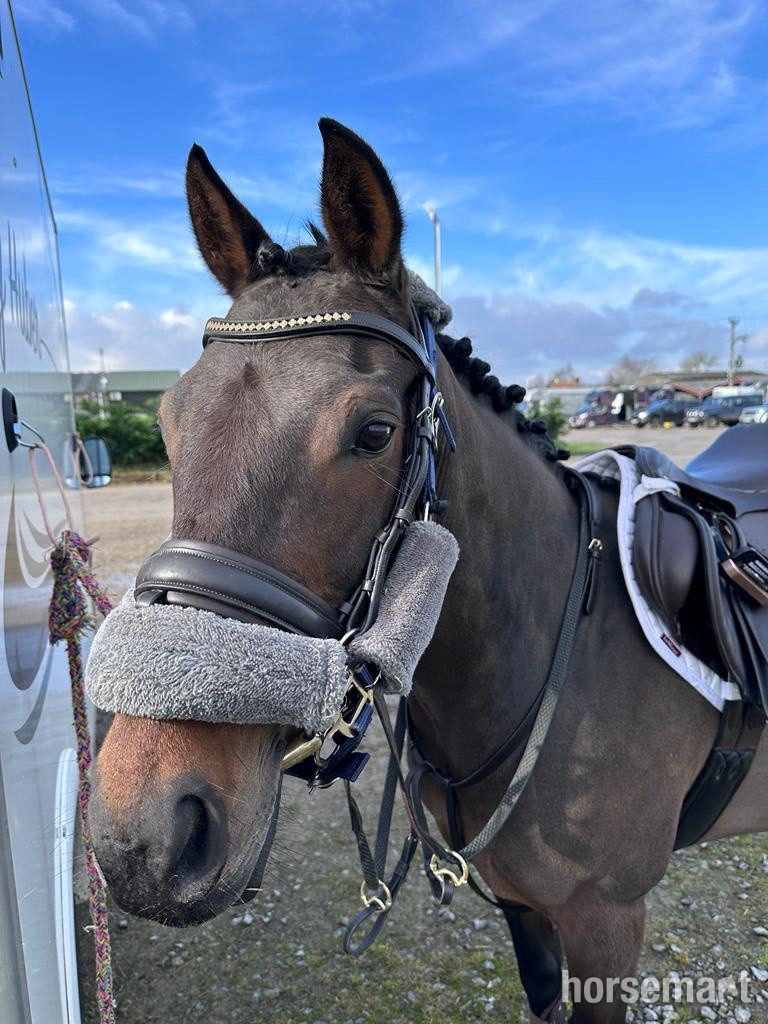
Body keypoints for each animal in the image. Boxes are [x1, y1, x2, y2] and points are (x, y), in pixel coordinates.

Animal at [89, 118, 768, 1023]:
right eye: (168, 422)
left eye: (374, 432)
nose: (149, 837)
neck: (557, 657)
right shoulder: (524, 910)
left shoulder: (610, 924)